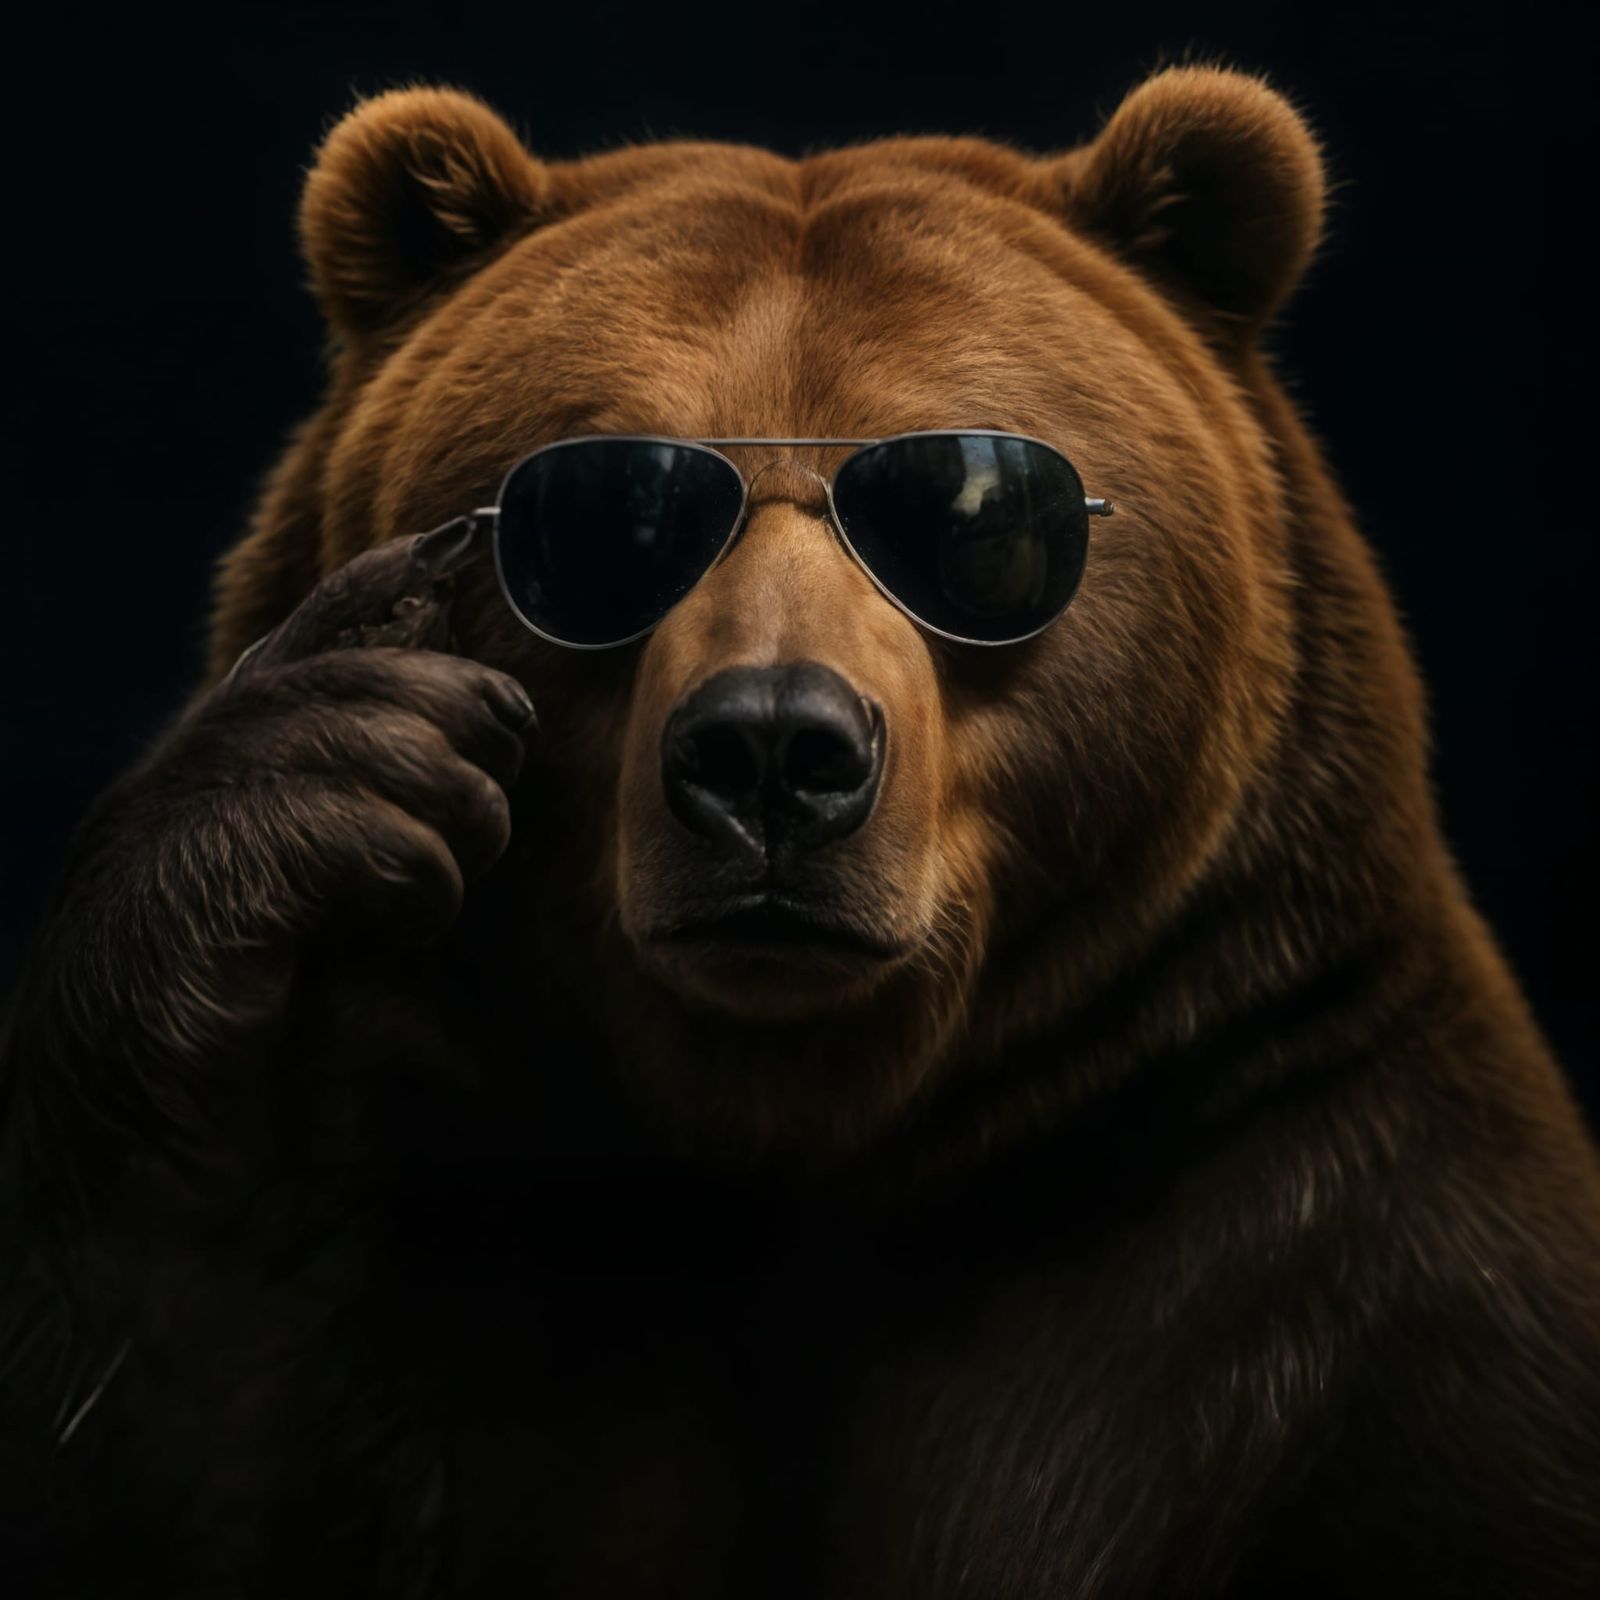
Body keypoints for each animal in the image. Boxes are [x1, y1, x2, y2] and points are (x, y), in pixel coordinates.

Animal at [2, 63, 1598, 1598]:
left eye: (970, 506)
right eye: (609, 504)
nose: (772, 748)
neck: (815, 1128)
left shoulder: (1315, 1232)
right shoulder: (401, 1244)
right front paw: (304, 775)